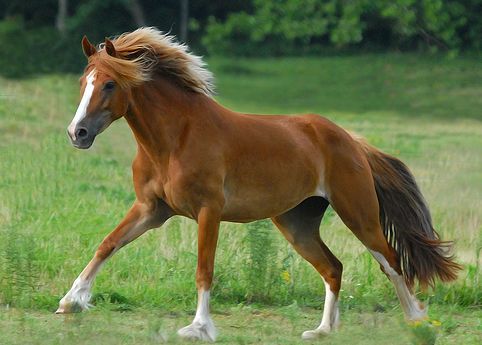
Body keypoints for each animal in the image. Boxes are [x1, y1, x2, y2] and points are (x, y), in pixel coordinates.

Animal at [58, 28, 462, 340]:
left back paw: (417, 322)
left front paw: (199, 328)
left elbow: (204, 269)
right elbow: (108, 244)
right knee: (333, 267)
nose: (77, 133)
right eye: (82, 82)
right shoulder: (151, 210)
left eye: (110, 84)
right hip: (296, 224)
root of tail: (352, 141)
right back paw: (322, 330)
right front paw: (70, 302)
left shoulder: (208, 211)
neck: (175, 139)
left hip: (358, 215)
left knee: (391, 262)